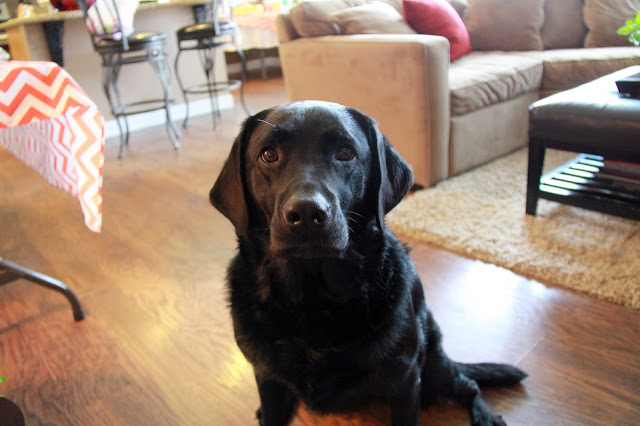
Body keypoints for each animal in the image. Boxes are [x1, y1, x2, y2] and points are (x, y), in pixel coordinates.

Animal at [210, 101, 526, 426]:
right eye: (269, 154)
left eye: (346, 152)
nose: (307, 213)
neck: (313, 298)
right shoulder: (266, 376)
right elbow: (272, 406)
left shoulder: (405, 378)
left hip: (434, 365)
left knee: (468, 383)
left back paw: (486, 415)